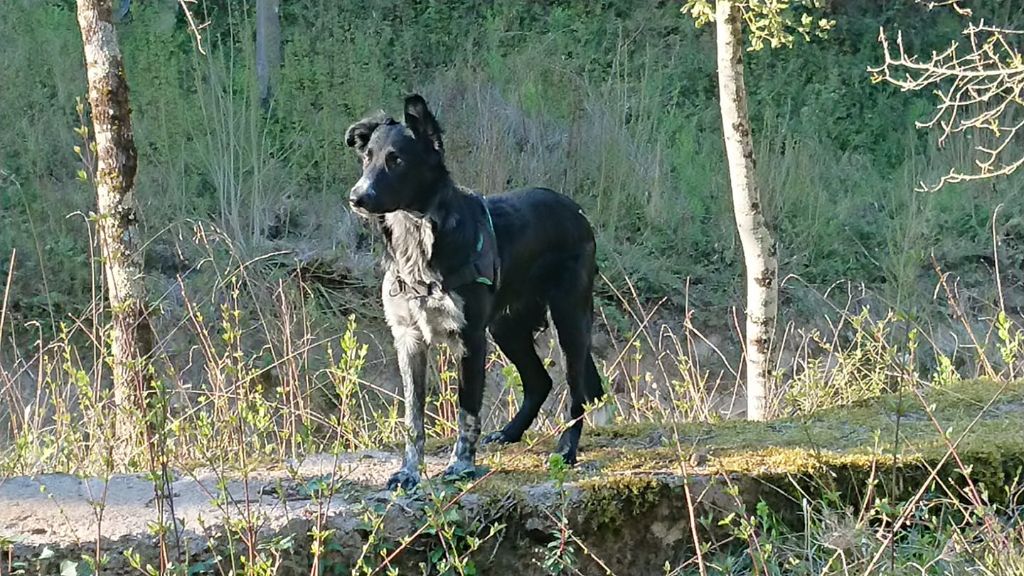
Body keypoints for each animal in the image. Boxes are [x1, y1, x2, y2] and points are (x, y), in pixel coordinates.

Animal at [346, 94, 598, 487]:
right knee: (539, 381)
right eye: (367, 157)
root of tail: (577, 210)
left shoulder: (469, 339)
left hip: (568, 320)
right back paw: (510, 433)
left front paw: (460, 465)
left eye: (396, 160)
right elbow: (413, 417)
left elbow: (467, 412)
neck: (416, 240)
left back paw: (566, 450)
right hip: (506, 326)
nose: (357, 197)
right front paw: (409, 471)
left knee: (577, 392)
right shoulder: (409, 339)